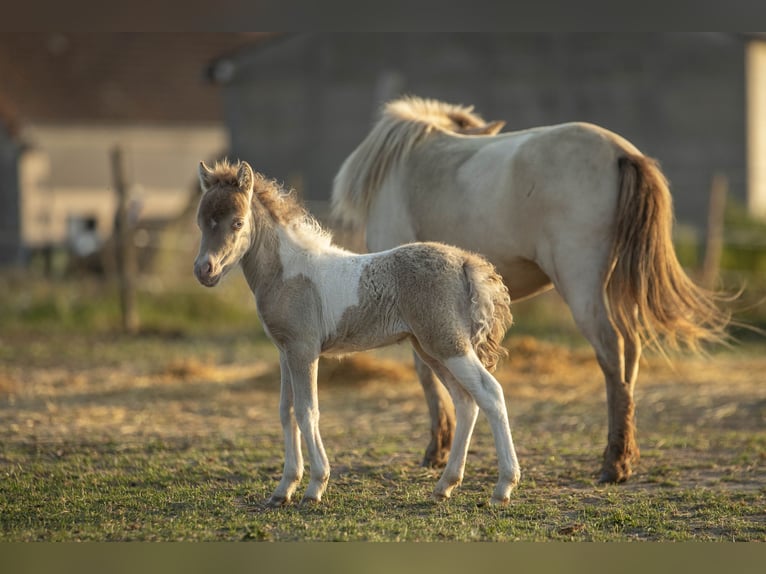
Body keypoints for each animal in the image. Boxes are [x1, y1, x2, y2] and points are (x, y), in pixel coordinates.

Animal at [194, 160, 520, 506]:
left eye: (238, 222)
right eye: (201, 221)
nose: (204, 270)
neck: (287, 272)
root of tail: (464, 261)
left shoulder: (304, 350)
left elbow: (308, 412)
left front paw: (315, 486)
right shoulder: (285, 352)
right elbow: (287, 412)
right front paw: (283, 490)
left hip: (449, 345)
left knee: (490, 392)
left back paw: (503, 487)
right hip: (431, 348)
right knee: (465, 401)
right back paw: (445, 484)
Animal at [332, 97, 732, 484]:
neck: (407, 165)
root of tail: (620, 152)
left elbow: (426, 375)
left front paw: (438, 450)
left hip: (581, 284)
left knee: (612, 349)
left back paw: (613, 464)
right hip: (617, 287)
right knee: (630, 352)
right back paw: (623, 456)